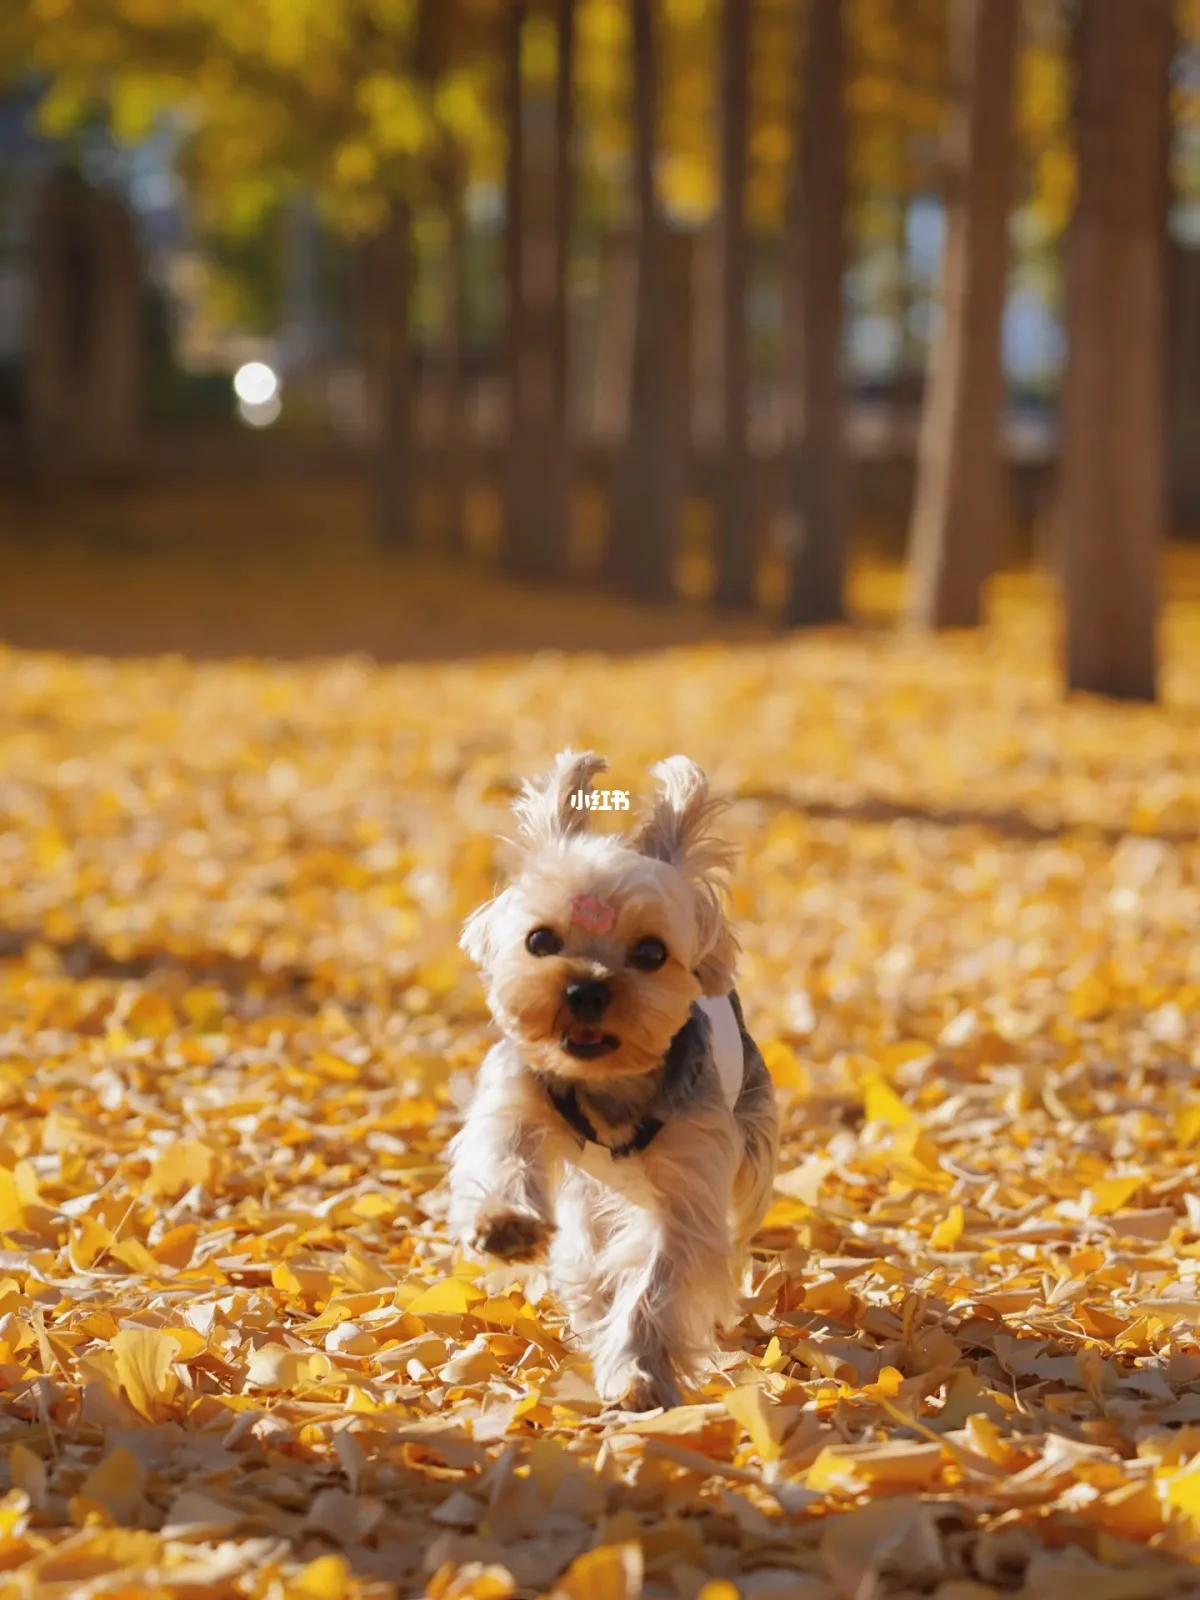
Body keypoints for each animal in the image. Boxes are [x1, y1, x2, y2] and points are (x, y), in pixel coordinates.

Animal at [451, 752, 780, 1414]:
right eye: (540, 940)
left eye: (652, 953)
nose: (586, 989)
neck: (607, 1085)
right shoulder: (520, 1097)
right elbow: (502, 1151)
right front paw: (505, 1224)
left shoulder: (691, 1175)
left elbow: (659, 1280)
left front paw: (636, 1374)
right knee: (584, 1248)